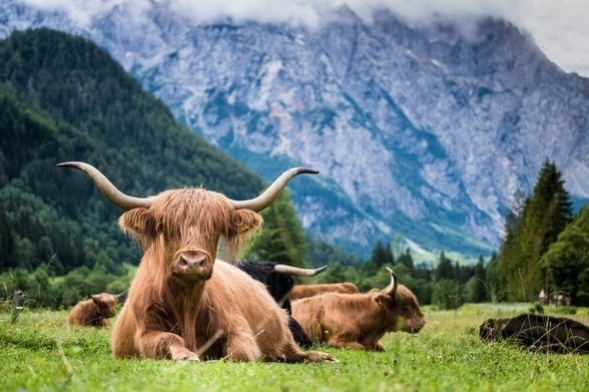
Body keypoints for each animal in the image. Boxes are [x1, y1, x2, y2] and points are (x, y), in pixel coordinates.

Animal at [58, 161, 336, 362]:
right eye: (166, 226)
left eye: (216, 228)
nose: (193, 261)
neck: (186, 303)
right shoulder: (145, 332)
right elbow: (170, 339)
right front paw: (187, 356)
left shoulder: (238, 328)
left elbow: (241, 352)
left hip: (284, 327)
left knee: (293, 350)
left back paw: (321, 357)